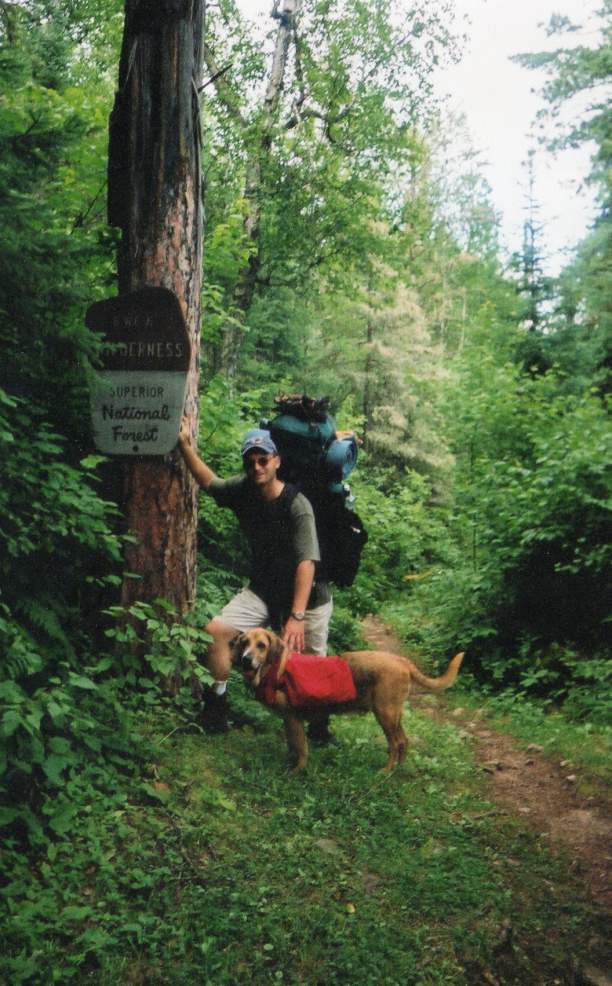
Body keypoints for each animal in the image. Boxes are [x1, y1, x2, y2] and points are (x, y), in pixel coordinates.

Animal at [230, 632, 464, 768]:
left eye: (261, 645)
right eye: (244, 643)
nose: (245, 659)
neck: (275, 669)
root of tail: (401, 660)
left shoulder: (293, 719)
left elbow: (301, 750)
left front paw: (297, 772)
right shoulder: (289, 722)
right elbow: (293, 747)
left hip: (385, 714)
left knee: (396, 744)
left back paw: (385, 772)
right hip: (394, 715)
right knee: (404, 742)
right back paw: (398, 770)